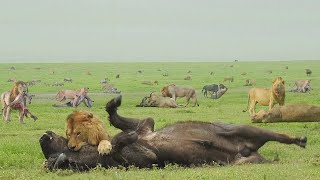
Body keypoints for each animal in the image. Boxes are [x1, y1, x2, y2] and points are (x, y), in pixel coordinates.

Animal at [40, 96, 308, 171]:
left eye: (71, 133)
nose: (45, 134)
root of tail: (247, 150)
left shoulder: (146, 124)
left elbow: (120, 121)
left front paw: (113, 104)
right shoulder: (146, 158)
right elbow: (119, 141)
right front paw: (118, 141)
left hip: (243, 128)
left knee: (279, 136)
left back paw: (300, 139)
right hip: (246, 160)